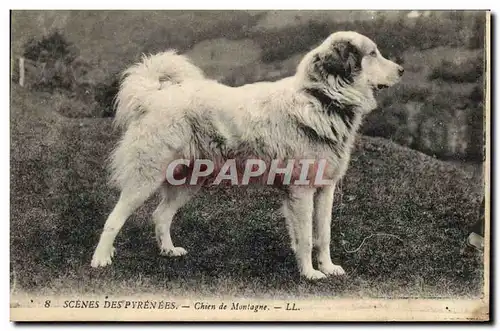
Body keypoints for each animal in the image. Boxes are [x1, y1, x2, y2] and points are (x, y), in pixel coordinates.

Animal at [91, 31, 402, 280]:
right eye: (372, 54)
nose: (401, 70)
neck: (321, 99)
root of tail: (156, 93)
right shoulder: (301, 191)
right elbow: (305, 237)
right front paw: (310, 274)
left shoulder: (325, 189)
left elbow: (322, 235)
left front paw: (327, 267)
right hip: (146, 176)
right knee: (114, 218)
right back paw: (101, 258)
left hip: (190, 180)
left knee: (161, 214)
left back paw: (168, 250)